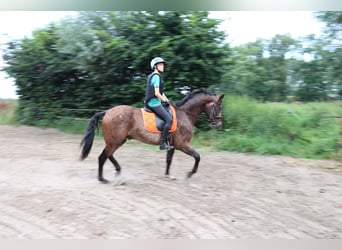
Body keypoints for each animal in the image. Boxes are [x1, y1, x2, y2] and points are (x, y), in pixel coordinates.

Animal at [80, 89, 224, 183]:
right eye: (218, 107)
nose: (219, 125)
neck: (185, 114)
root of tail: (107, 112)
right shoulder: (181, 144)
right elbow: (197, 156)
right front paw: (189, 174)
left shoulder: (172, 145)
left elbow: (169, 160)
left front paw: (167, 176)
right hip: (115, 141)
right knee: (103, 157)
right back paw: (103, 179)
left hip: (117, 141)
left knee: (108, 155)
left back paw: (118, 171)